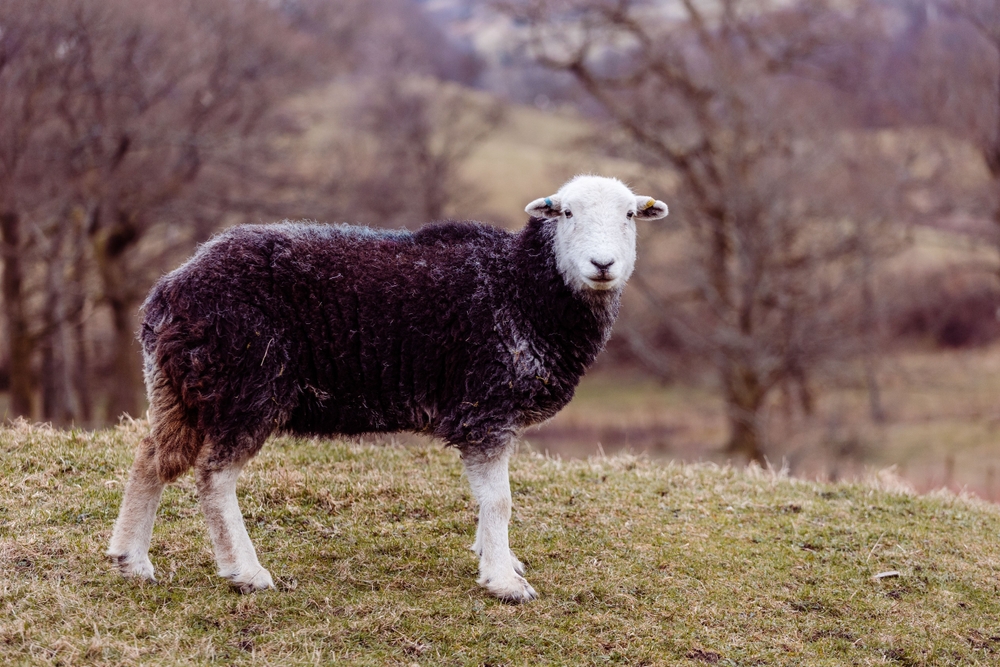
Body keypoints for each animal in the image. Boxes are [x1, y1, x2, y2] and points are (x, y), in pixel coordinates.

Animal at [107, 175, 668, 603]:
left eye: (629, 216)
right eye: (567, 213)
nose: (602, 265)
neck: (522, 287)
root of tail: (170, 291)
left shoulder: (492, 417)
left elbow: (490, 500)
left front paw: (499, 559)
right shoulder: (485, 408)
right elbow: (500, 501)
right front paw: (504, 583)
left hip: (179, 388)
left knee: (152, 456)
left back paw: (131, 559)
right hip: (246, 385)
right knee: (213, 477)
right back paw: (246, 573)